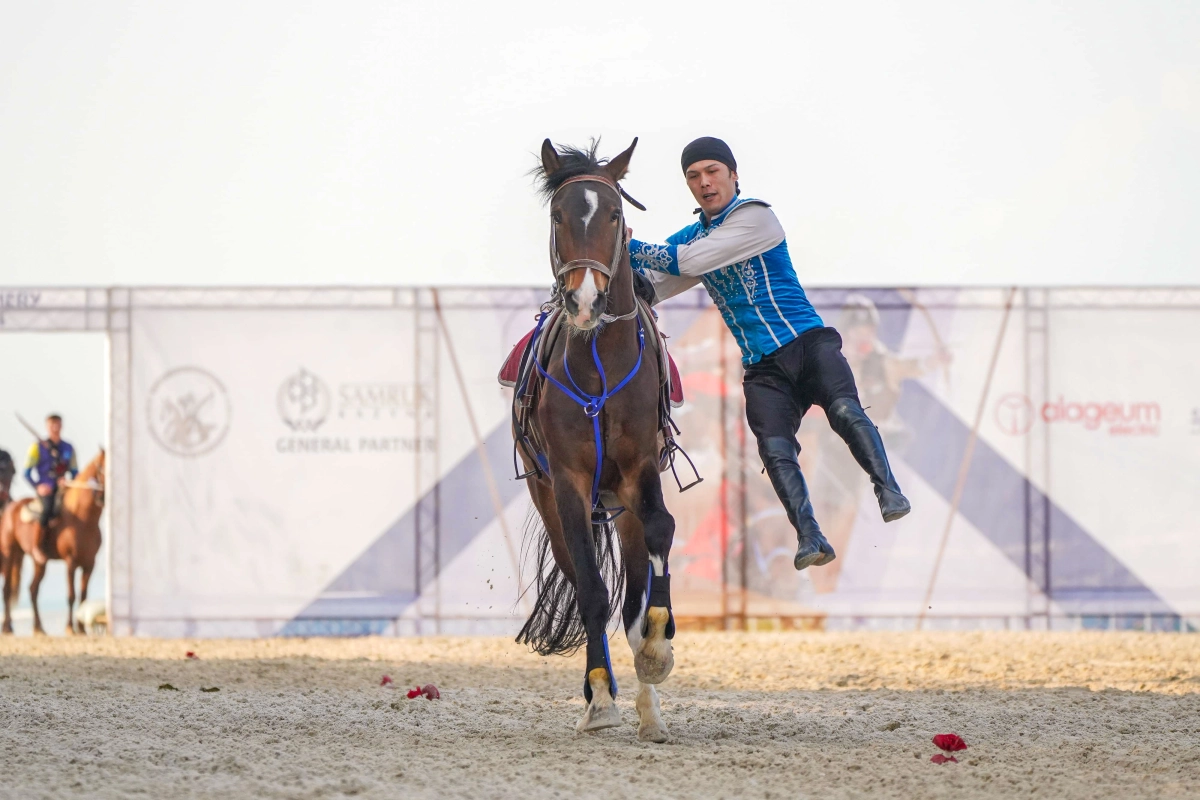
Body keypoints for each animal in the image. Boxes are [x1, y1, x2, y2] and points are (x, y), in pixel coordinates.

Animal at [0, 450, 104, 633]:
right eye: (101, 468)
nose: (103, 496)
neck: (84, 520)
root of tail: (11, 506)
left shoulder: (89, 563)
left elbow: (84, 596)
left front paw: (81, 629)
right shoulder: (71, 562)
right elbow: (71, 595)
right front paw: (70, 628)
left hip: (38, 562)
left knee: (33, 589)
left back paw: (39, 627)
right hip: (10, 553)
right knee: (7, 590)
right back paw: (7, 627)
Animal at [513, 139, 681, 743]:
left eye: (613, 214)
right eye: (558, 215)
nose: (585, 299)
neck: (600, 365)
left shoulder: (639, 472)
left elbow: (660, 535)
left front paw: (656, 651)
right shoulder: (568, 481)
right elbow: (590, 589)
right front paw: (602, 698)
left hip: (619, 507)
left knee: (630, 592)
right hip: (553, 503)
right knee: (586, 583)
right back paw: (598, 691)